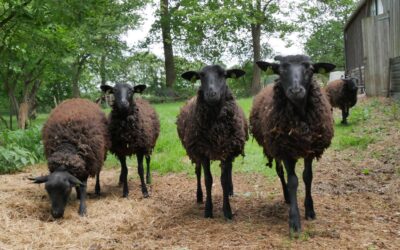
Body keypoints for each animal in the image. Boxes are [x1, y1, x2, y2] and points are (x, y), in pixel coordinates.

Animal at [177, 64, 248, 219]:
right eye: (201, 76)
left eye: (224, 74)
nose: (211, 94)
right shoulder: (202, 151)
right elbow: (208, 180)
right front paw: (208, 210)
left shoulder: (227, 150)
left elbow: (224, 180)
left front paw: (227, 211)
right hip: (195, 152)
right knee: (198, 172)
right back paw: (199, 196)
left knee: (228, 172)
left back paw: (230, 191)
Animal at [252, 54, 336, 234]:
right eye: (281, 69)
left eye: (310, 69)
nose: (296, 91)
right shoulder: (286, 151)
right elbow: (293, 182)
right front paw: (294, 221)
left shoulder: (310, 150)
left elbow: (307, 177)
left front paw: (310, 210)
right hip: (274, 148)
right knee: (280, 172)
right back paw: (287, 197)